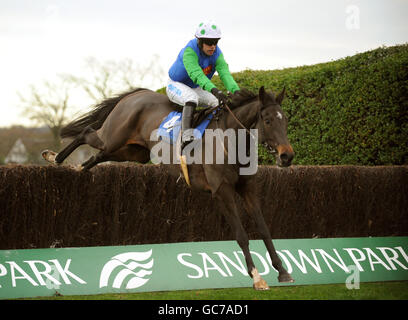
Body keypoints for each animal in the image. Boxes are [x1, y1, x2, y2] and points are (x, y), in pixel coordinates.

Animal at [42, 85, 296, 290]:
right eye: (268, 120)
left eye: (285, 120)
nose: (287, 156)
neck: (230, 139)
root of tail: (136, 94)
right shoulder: (222, 191)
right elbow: (241, 235)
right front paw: (257, 277)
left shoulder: (248, 188)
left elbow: (264, 229)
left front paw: (283, 271)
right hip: (114, 139)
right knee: (87, 134)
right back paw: (54, 157)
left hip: (132, 152)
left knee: (98, 156)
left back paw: (78, 168)